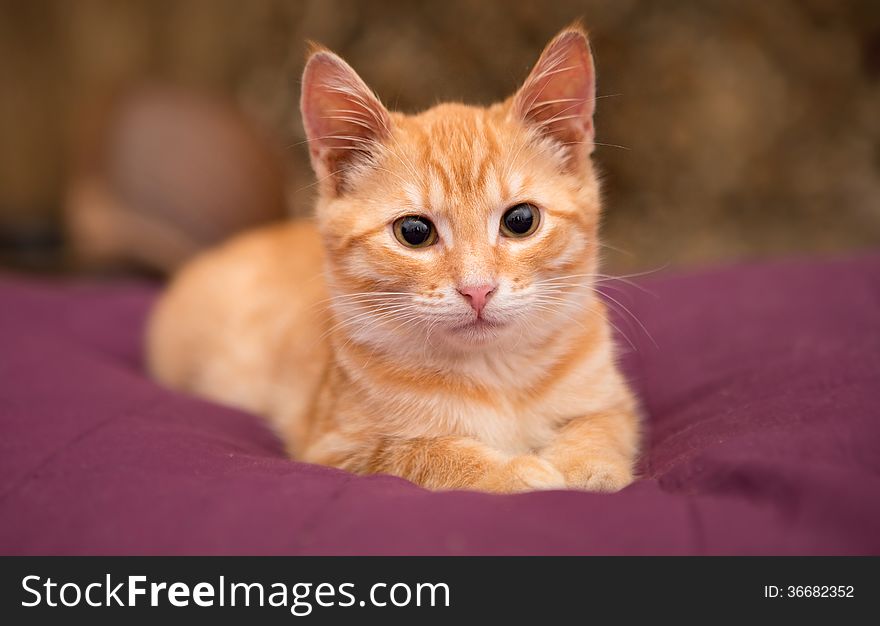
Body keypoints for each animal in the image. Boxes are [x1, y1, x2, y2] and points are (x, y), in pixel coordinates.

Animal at [146, 25, 640, 492]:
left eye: (521, 220)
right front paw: (514, 472)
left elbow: (602, 426)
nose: (477, 289)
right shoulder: (335, 445)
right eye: (414, 232)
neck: (493, 375)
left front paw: (585, 467)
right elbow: (421, 452)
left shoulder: (615, 401)